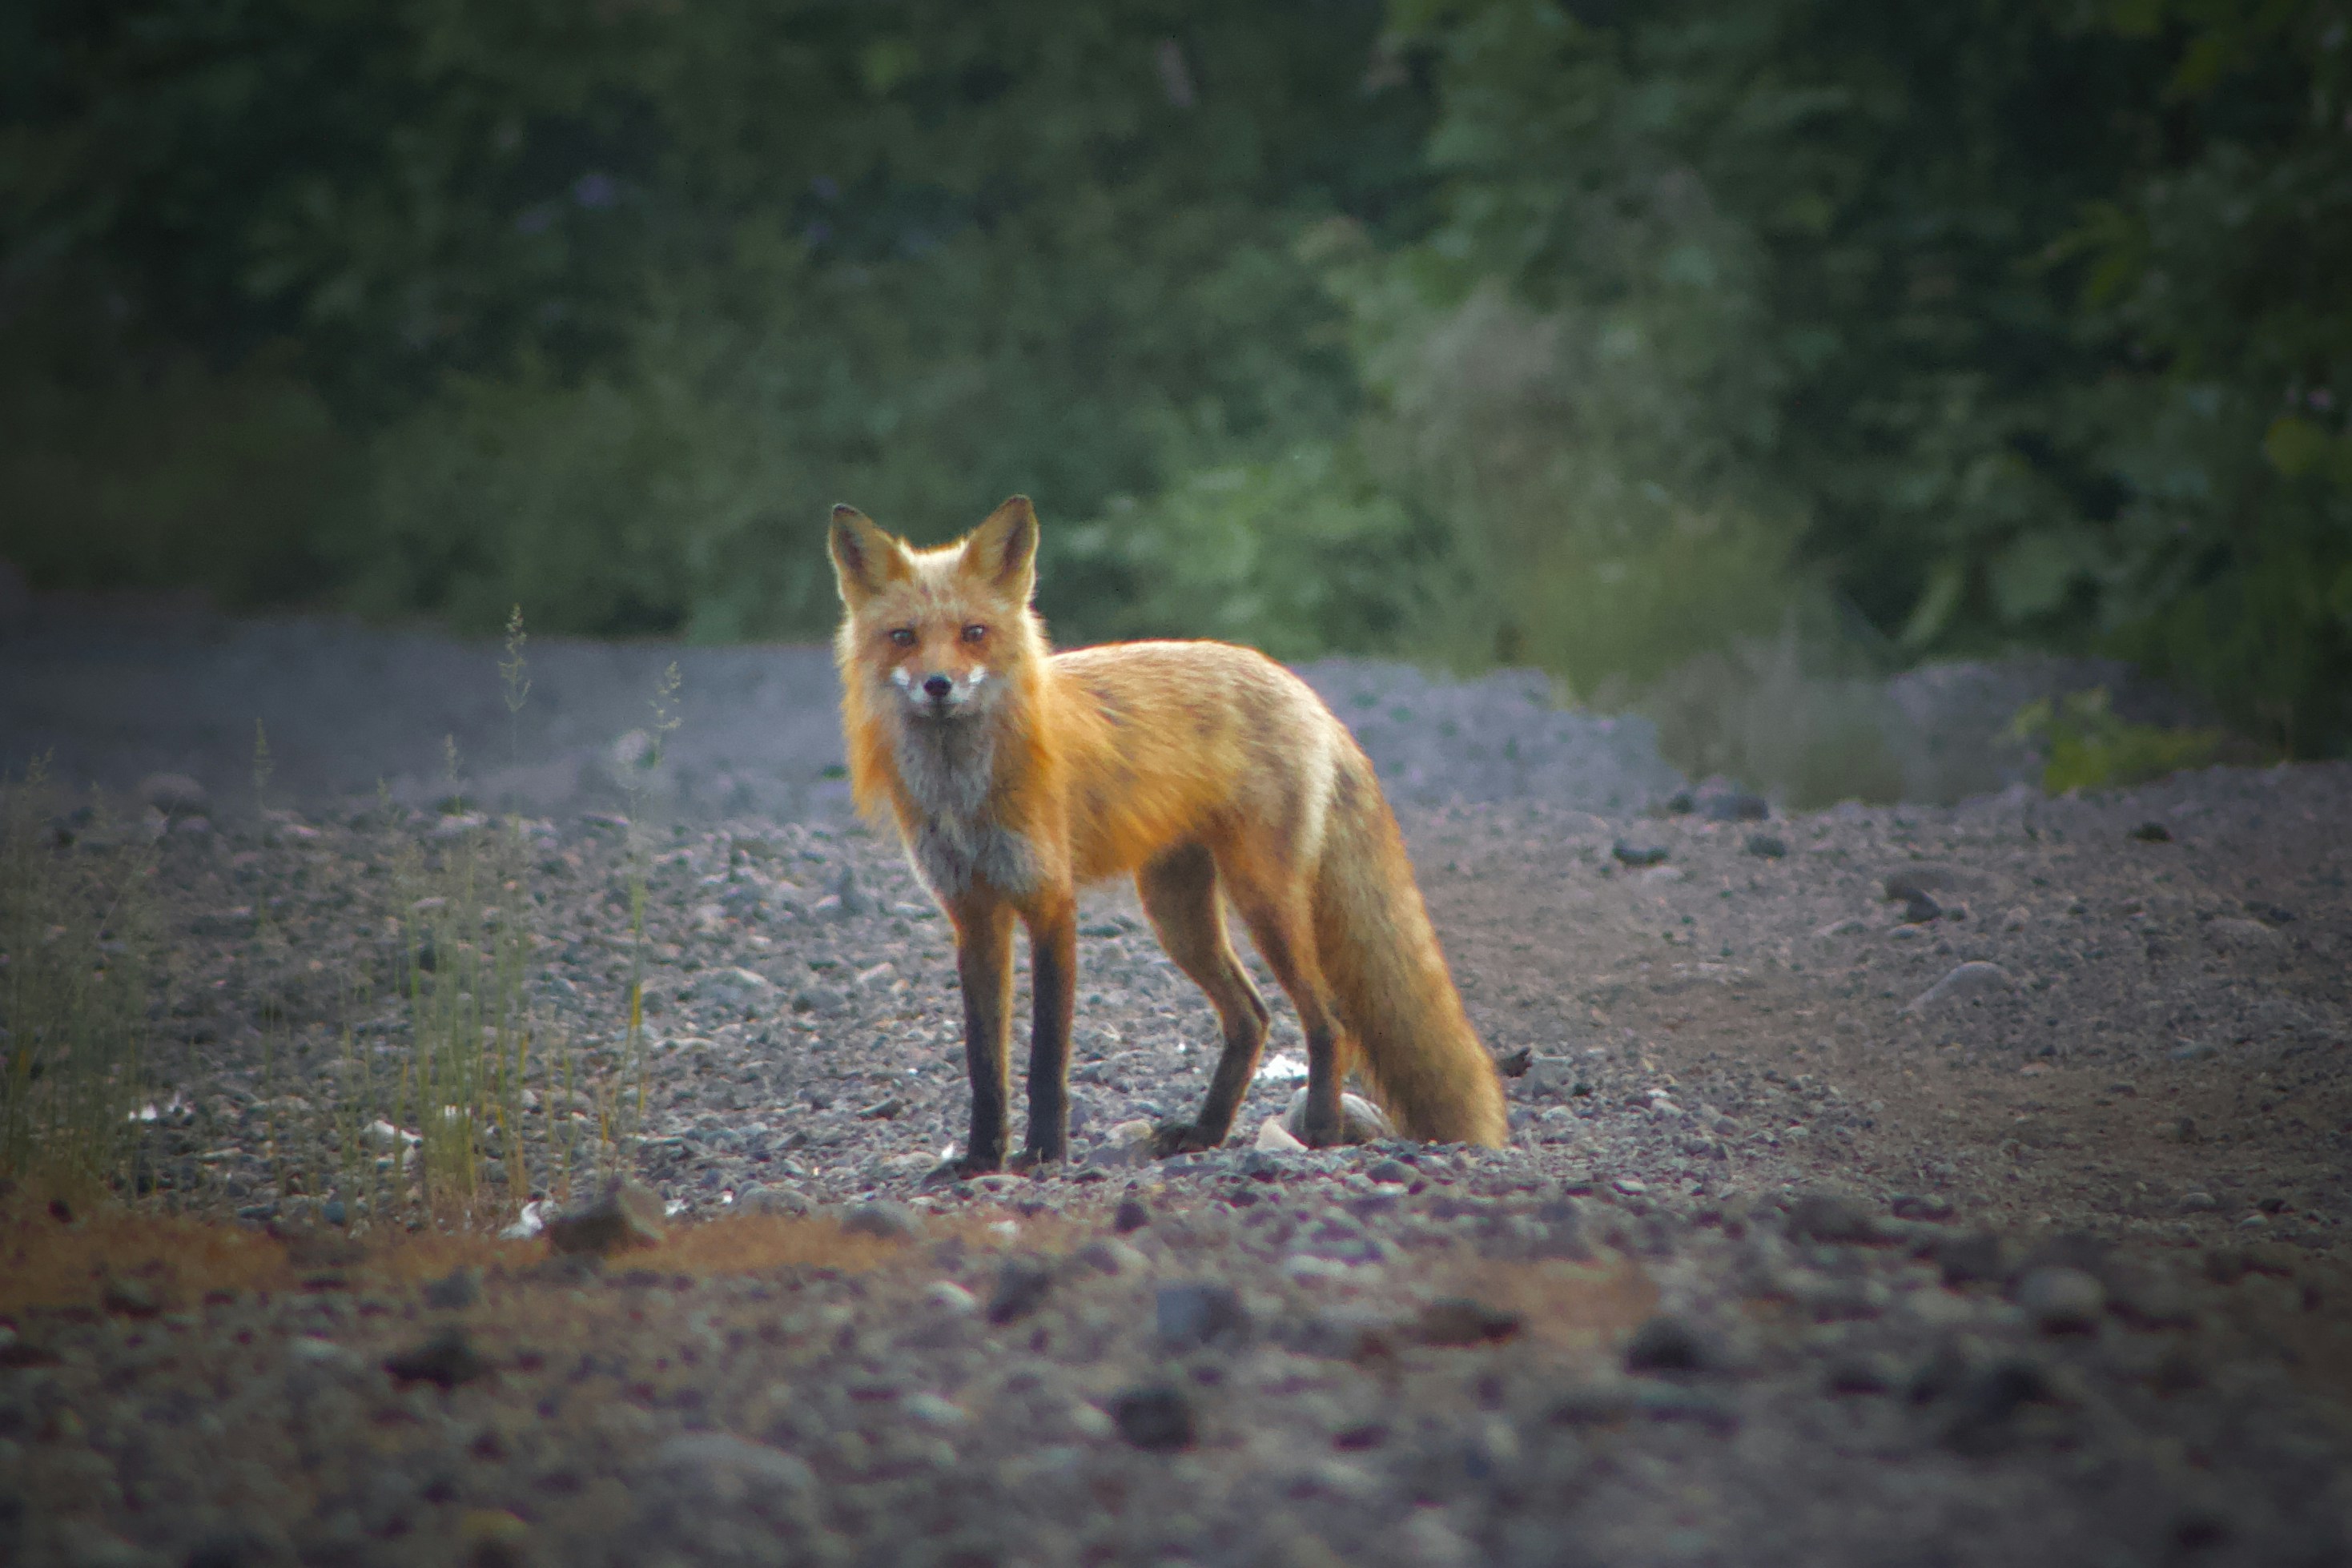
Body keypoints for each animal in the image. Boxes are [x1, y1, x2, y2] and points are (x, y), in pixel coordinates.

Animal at [828, 495, 1507, 1177]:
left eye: (973, 633)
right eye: (903, 637)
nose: (937, 686)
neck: (962, 792)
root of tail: (1303, 692)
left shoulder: (1050, 902)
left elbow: (1046, 1057)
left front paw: (1044, 1152)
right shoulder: (973, 914)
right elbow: (984, 1064)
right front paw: (979, 1158)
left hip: (1262, 901)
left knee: (1328, 1019)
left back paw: (1317, 1130)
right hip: (1177, 915)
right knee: (1251, 1018)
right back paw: (1205, 1132)